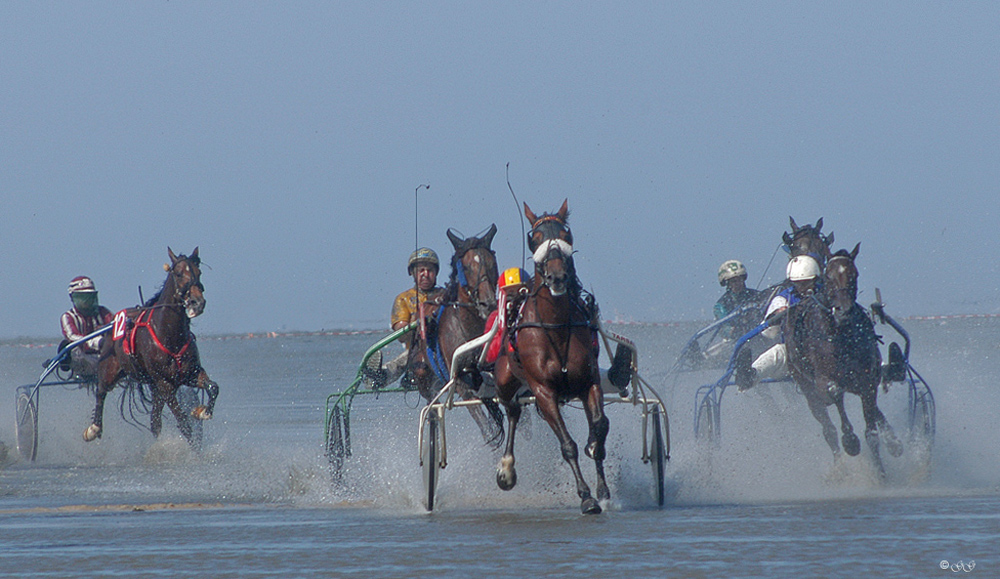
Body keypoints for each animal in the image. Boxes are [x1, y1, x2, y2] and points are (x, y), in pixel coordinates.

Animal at [85, 247, 220, 446]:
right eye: (178, 273)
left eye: (199, 272)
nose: (197, 302)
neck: (169, 333)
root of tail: (114, 321)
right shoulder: (165, 384)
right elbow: (184, 424)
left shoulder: (191, 373)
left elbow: (213, 387)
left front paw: (202, 411)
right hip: (110, 368)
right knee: (101, 391)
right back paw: (94, 428)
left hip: (154, 386)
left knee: (154, 422)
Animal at [404, 224, 504, 446]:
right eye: (465, 267)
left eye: (492, 263)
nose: (487, 303)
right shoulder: (460, 383)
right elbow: (487, 427)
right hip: (423, 373)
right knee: (432, 405)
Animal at [488, 201, 604, 516]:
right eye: (535, 237)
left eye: (566, 234)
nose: (558, 277)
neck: (556, 325)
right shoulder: (543, 391)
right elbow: (568, 445)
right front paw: (586, 496)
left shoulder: (589, 381)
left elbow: (599, 427)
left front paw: (599, 477)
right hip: (505, 380)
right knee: (512, 411)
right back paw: (506, 469)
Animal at [784, 242, 904, 478]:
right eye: (828, 276)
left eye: (854, 275)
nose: (844, 311)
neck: (842, 335)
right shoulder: (823, 379)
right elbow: (834, 393)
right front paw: (850, 441)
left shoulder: (867, 379)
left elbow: (872, 430)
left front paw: (881, 471)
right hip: (803, 383)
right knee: (827, 425)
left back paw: (892, 441)